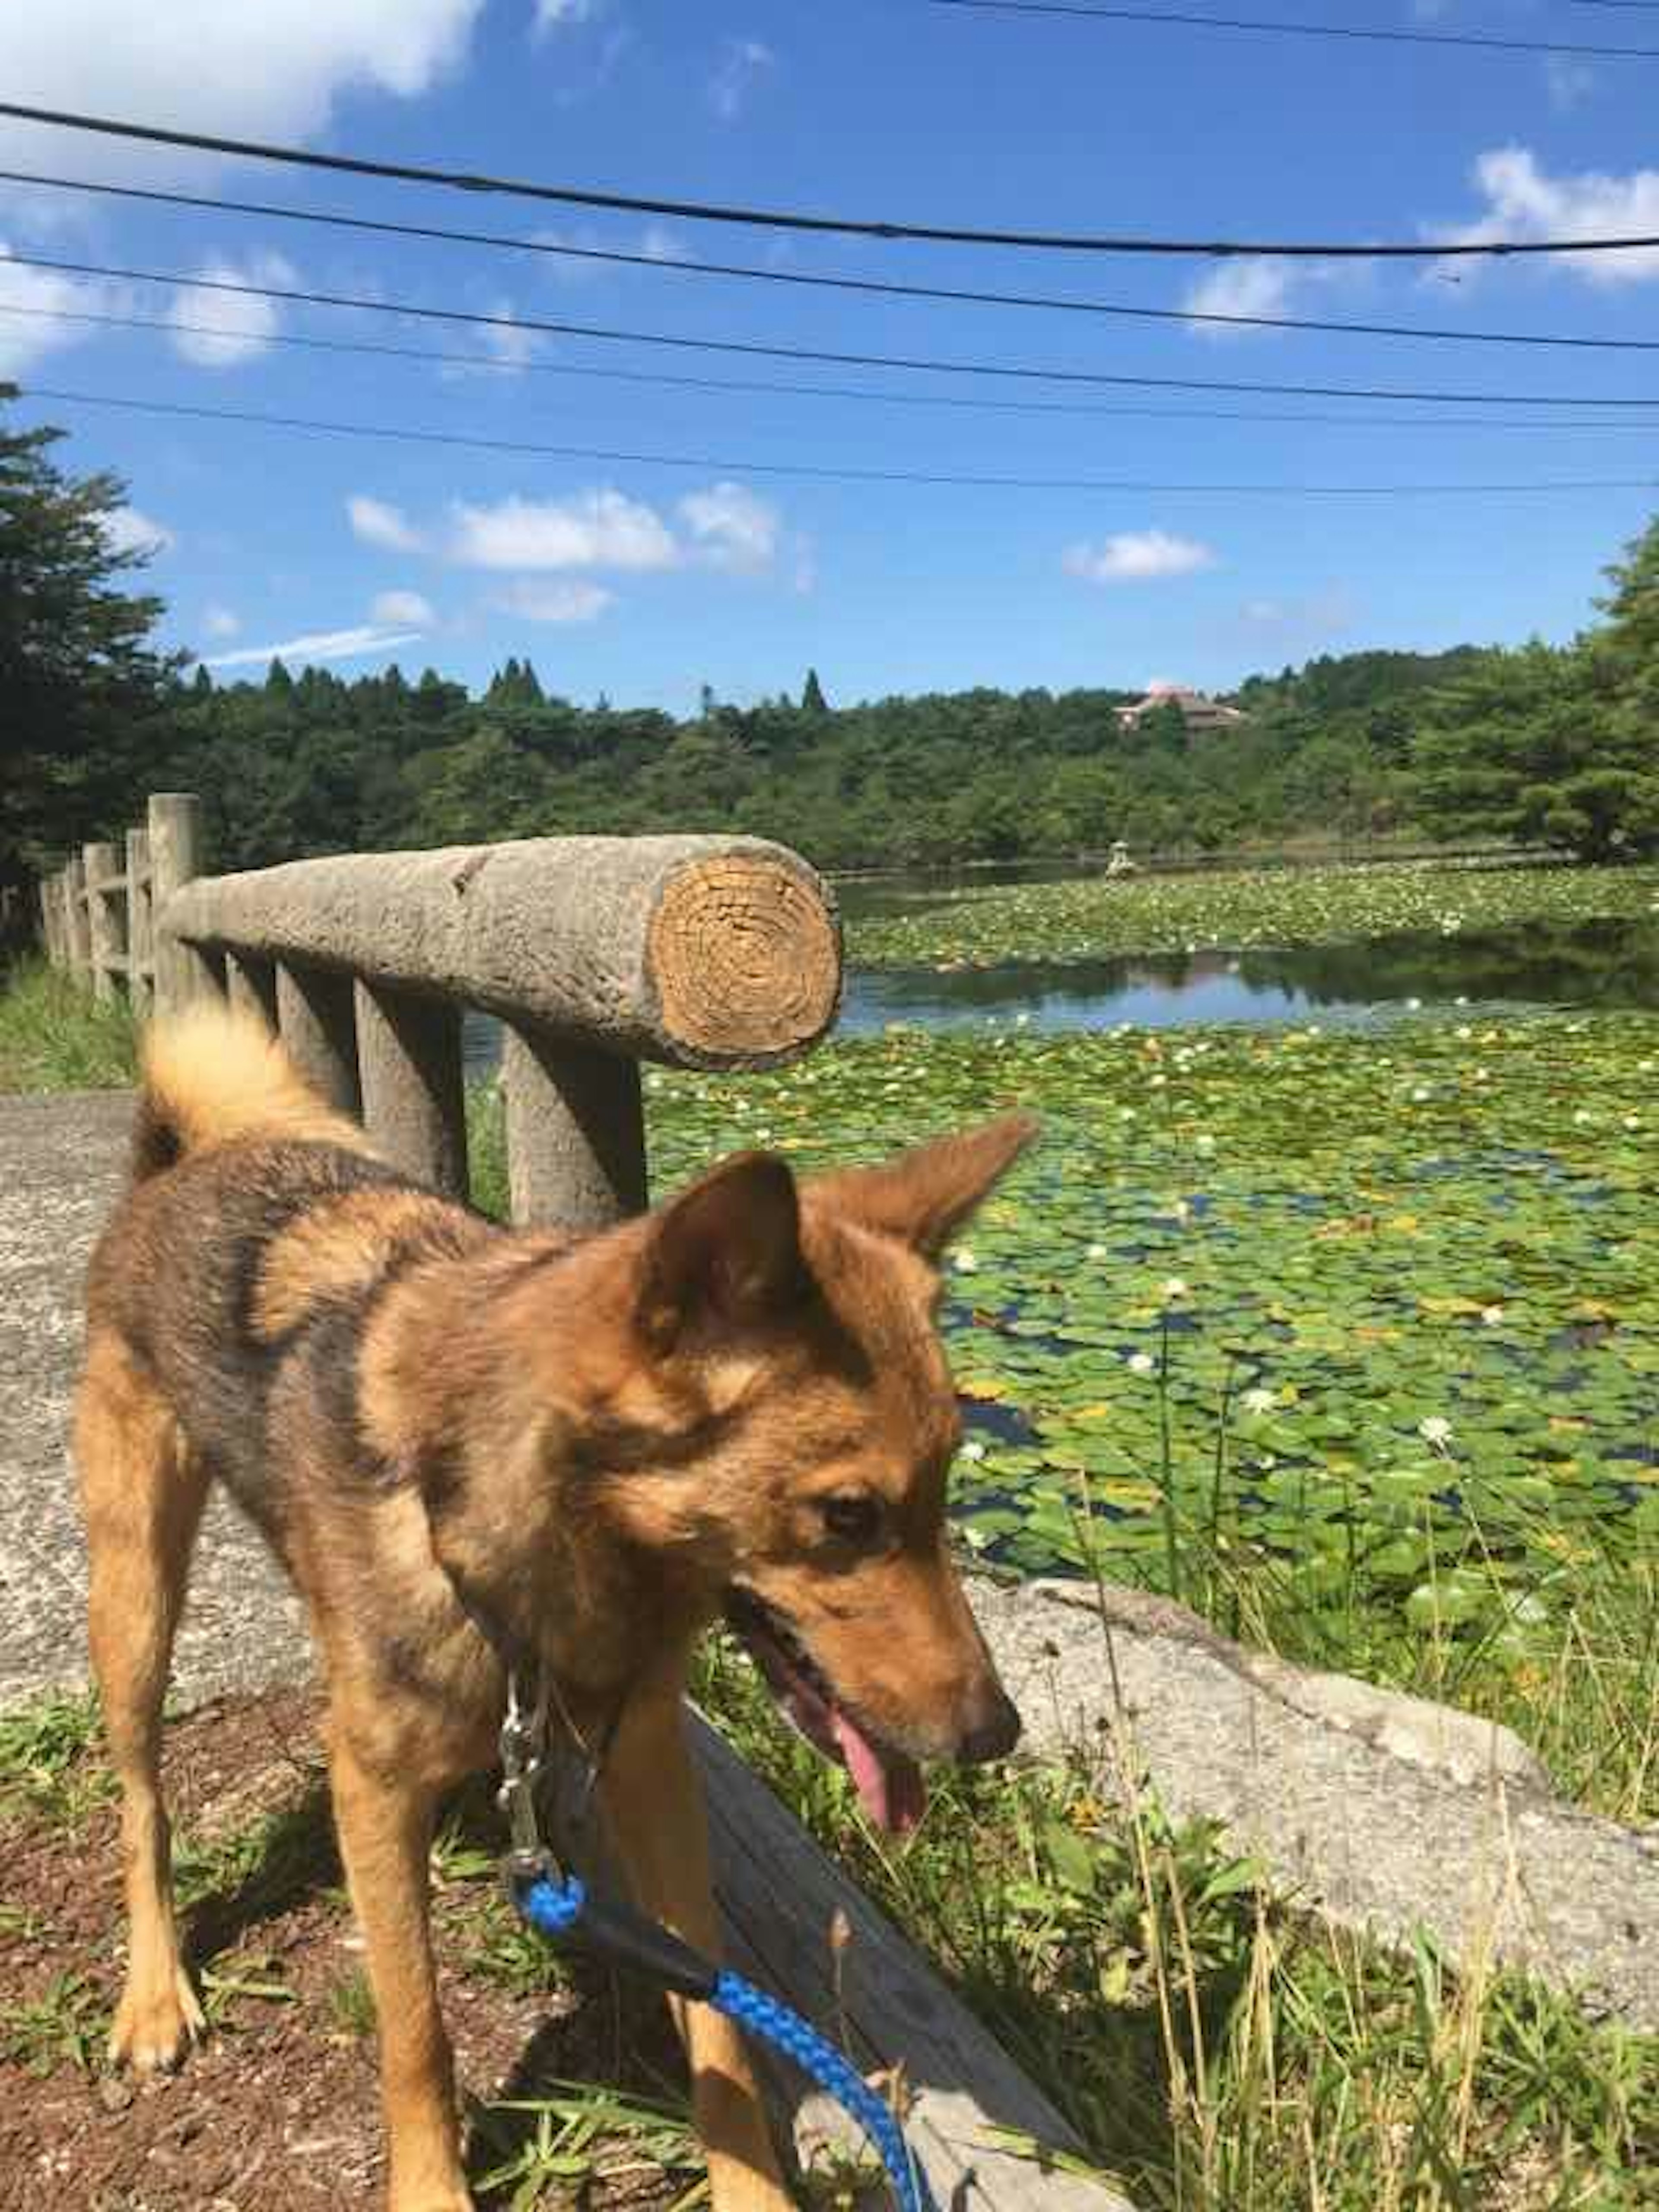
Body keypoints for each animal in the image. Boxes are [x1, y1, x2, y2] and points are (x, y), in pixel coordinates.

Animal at [81, 1008, 1039, 2212]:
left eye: (951, 1482)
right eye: (849, 1514)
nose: (996, 1733)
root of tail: (184, 1158)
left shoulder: (647, 1764)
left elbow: (721, 2024)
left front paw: (751, 2188)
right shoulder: (371, 1788)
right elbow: (416, 2031)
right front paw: (431, 2187)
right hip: (134, 1600)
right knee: (142, 1805)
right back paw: (154, 1991)